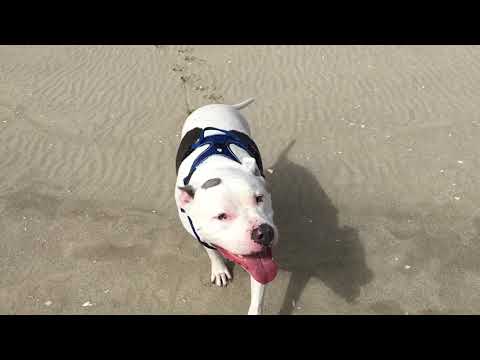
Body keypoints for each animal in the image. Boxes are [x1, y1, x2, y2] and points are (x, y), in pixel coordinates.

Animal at [173, 98, 278, 316]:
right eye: (221, 216)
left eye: (259, 199)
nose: (264, 232)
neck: (217, 167)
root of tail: (216, 105)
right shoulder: (199, 234)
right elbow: (212, 251)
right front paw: (219, 269)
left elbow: (258, 295)